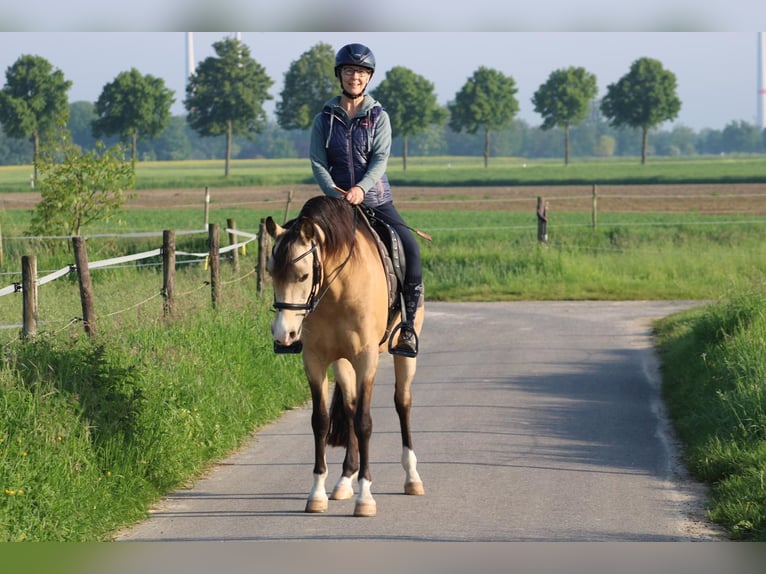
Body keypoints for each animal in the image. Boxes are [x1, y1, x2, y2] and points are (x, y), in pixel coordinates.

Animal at [268, 196, 426, 520]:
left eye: (303, 275)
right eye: (271, 274)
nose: (283, 335)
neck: (337, 289)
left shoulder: (366, 358)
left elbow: (365, 422)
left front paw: (365, 497)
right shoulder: (315, 360)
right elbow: (321, 421)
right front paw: (317, 493)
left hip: (404, 356)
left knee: (402, 403)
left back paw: (412, 478)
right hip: (342, 363)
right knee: (350, 408)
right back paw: (344, 481)